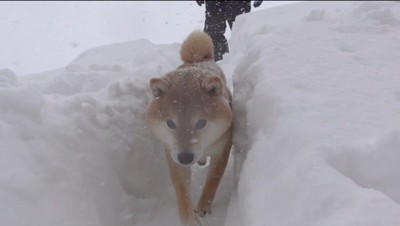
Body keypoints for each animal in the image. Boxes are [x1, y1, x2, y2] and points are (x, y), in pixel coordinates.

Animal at [145, 30, 233, 226]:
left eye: (201, 123)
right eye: (171, 123)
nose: (186, 157)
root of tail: (197, 60)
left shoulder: (222, 147)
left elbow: (213, 180)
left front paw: (203, 206)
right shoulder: (172, 153)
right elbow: (181, 191)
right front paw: (189, 219)